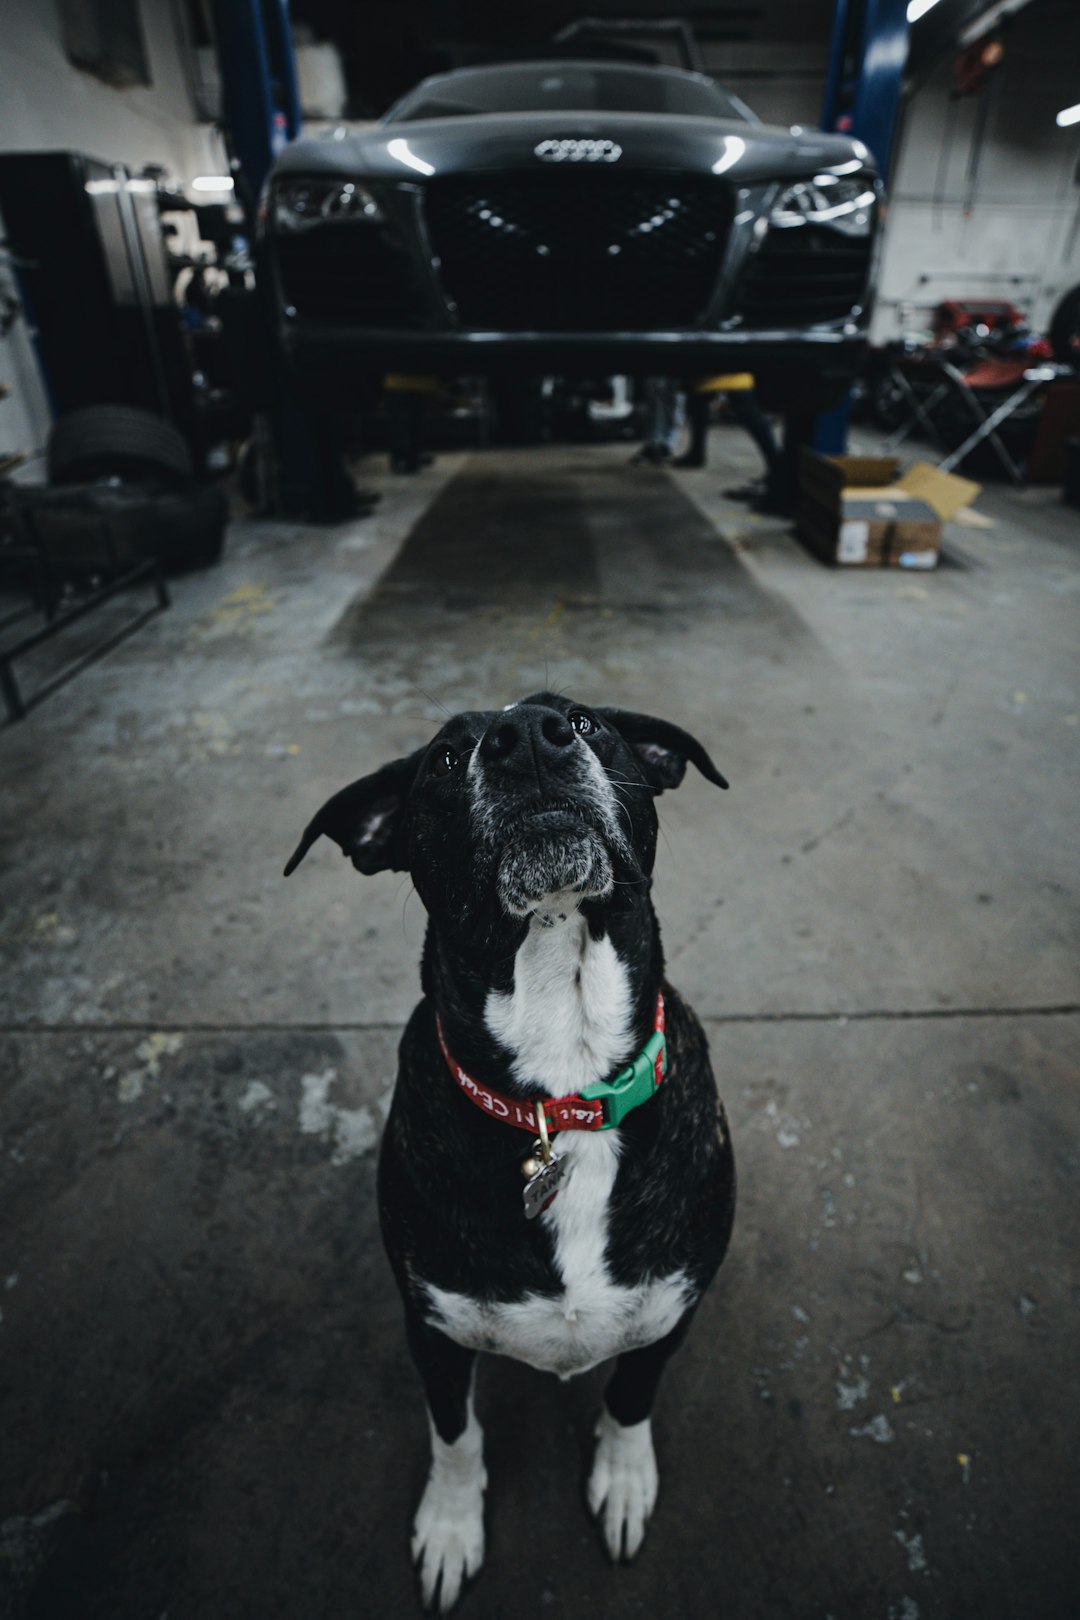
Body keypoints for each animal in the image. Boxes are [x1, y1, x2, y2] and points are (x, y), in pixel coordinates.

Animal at [286, 693, 738, 1607]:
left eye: (589, 723)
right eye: (444, 759)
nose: (527, 738)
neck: (562, 1086)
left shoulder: (674, 1308)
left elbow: (631, 1395)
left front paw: (624, 1481)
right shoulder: (432, 1328)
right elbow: (455, 1435)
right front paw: (452, 1527)